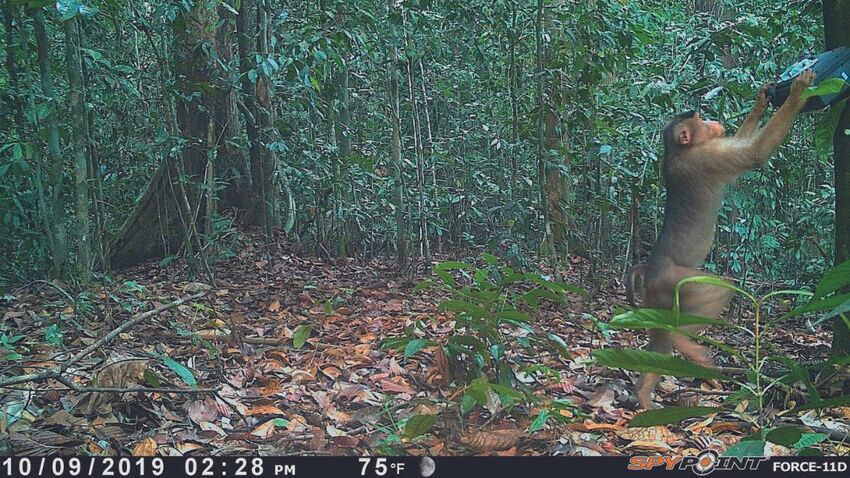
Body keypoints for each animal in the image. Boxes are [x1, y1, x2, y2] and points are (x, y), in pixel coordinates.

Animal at [631, 70, 815, 409]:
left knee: (659, 338)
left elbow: (745, 140)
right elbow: (754, 154)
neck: (678, 152)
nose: (714, 120)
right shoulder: (708, 156)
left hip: (655, 298)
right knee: (718, 290)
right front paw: (798, 91)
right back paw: (686, 342)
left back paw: (643, 393)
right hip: (675, 282)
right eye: (701, 121)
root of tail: (649, 271)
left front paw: (762, 98)